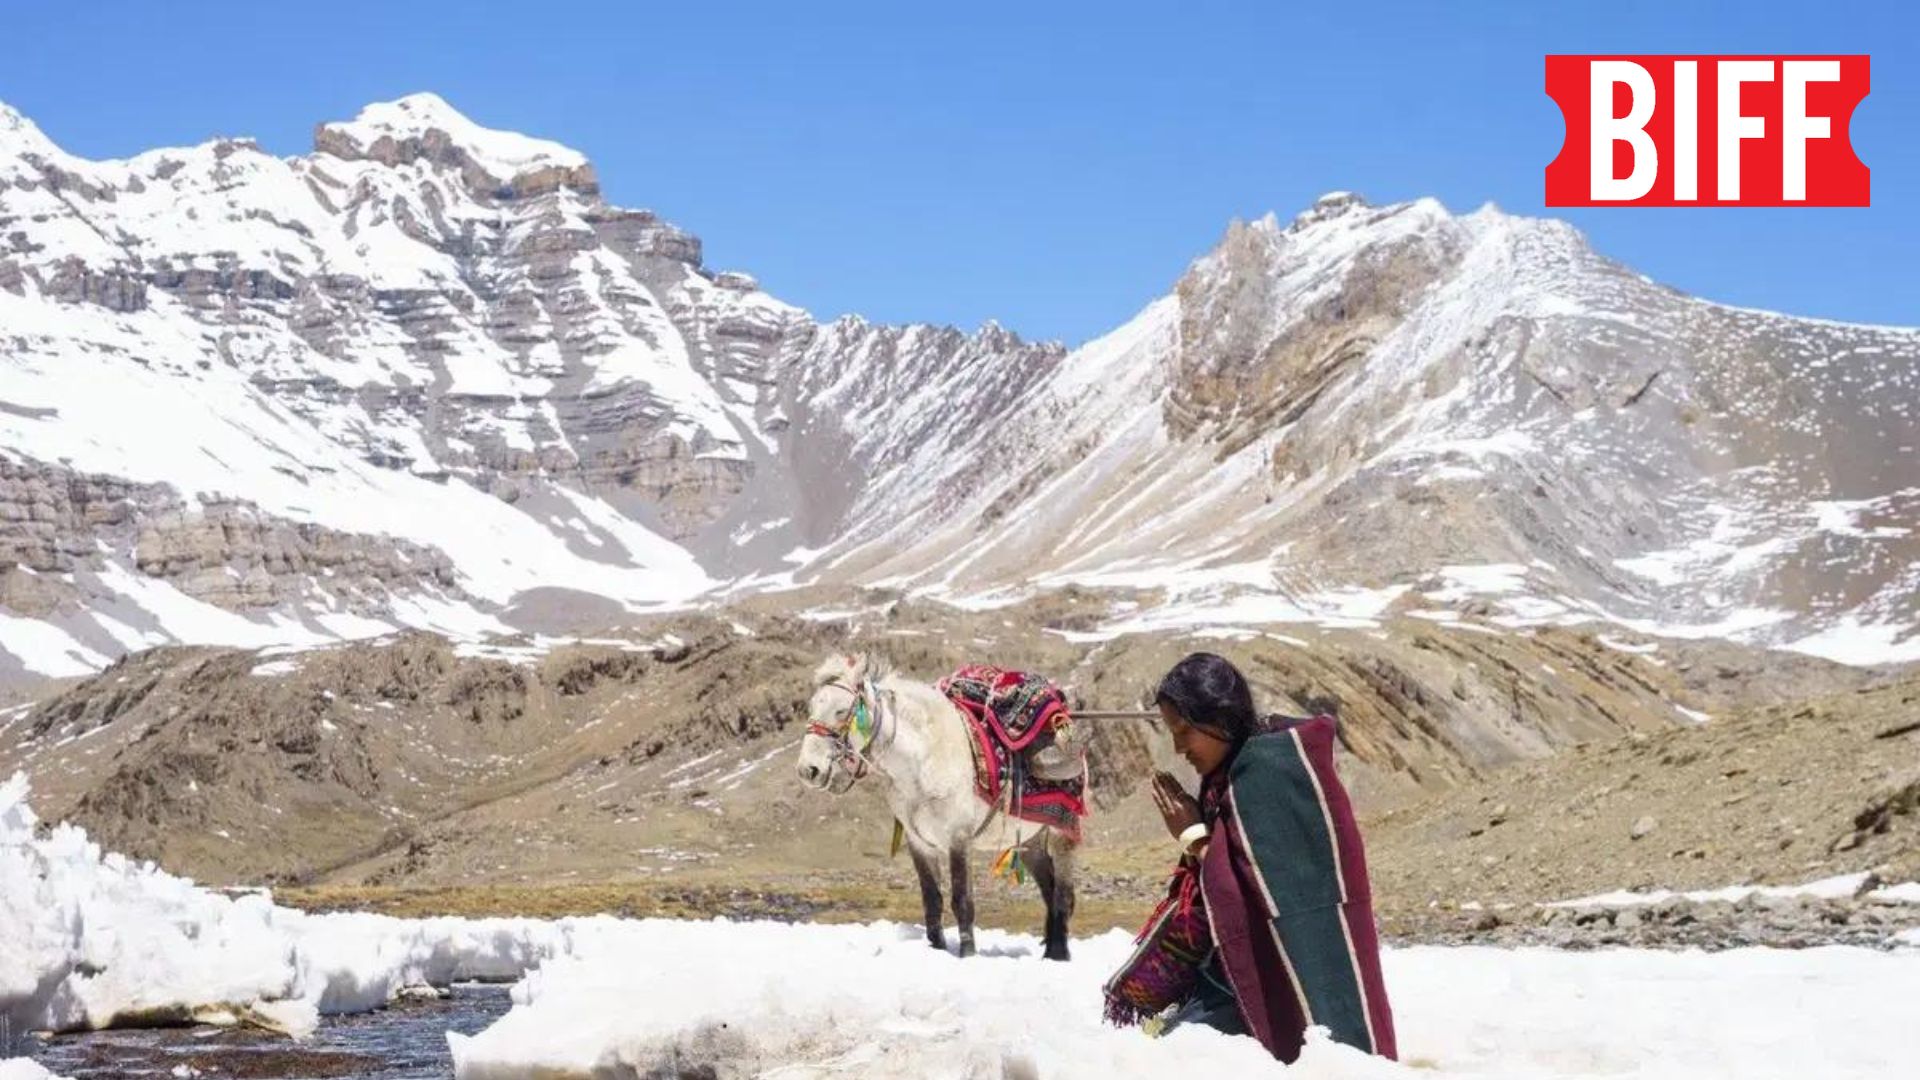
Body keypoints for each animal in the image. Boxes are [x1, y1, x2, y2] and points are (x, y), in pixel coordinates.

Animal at [787, 653, 1075, 953]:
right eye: (811, 708)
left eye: (842, 711)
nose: (808, 770)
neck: (923, 758)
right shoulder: (920, 843)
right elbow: (932, 900)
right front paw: (936, 948)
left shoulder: (958, 838)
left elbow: (962, 900)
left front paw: (967, 954)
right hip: (1030, 839)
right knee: (1048, 887)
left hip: (1062, 833)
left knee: (1063, 892)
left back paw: (1059, 954)